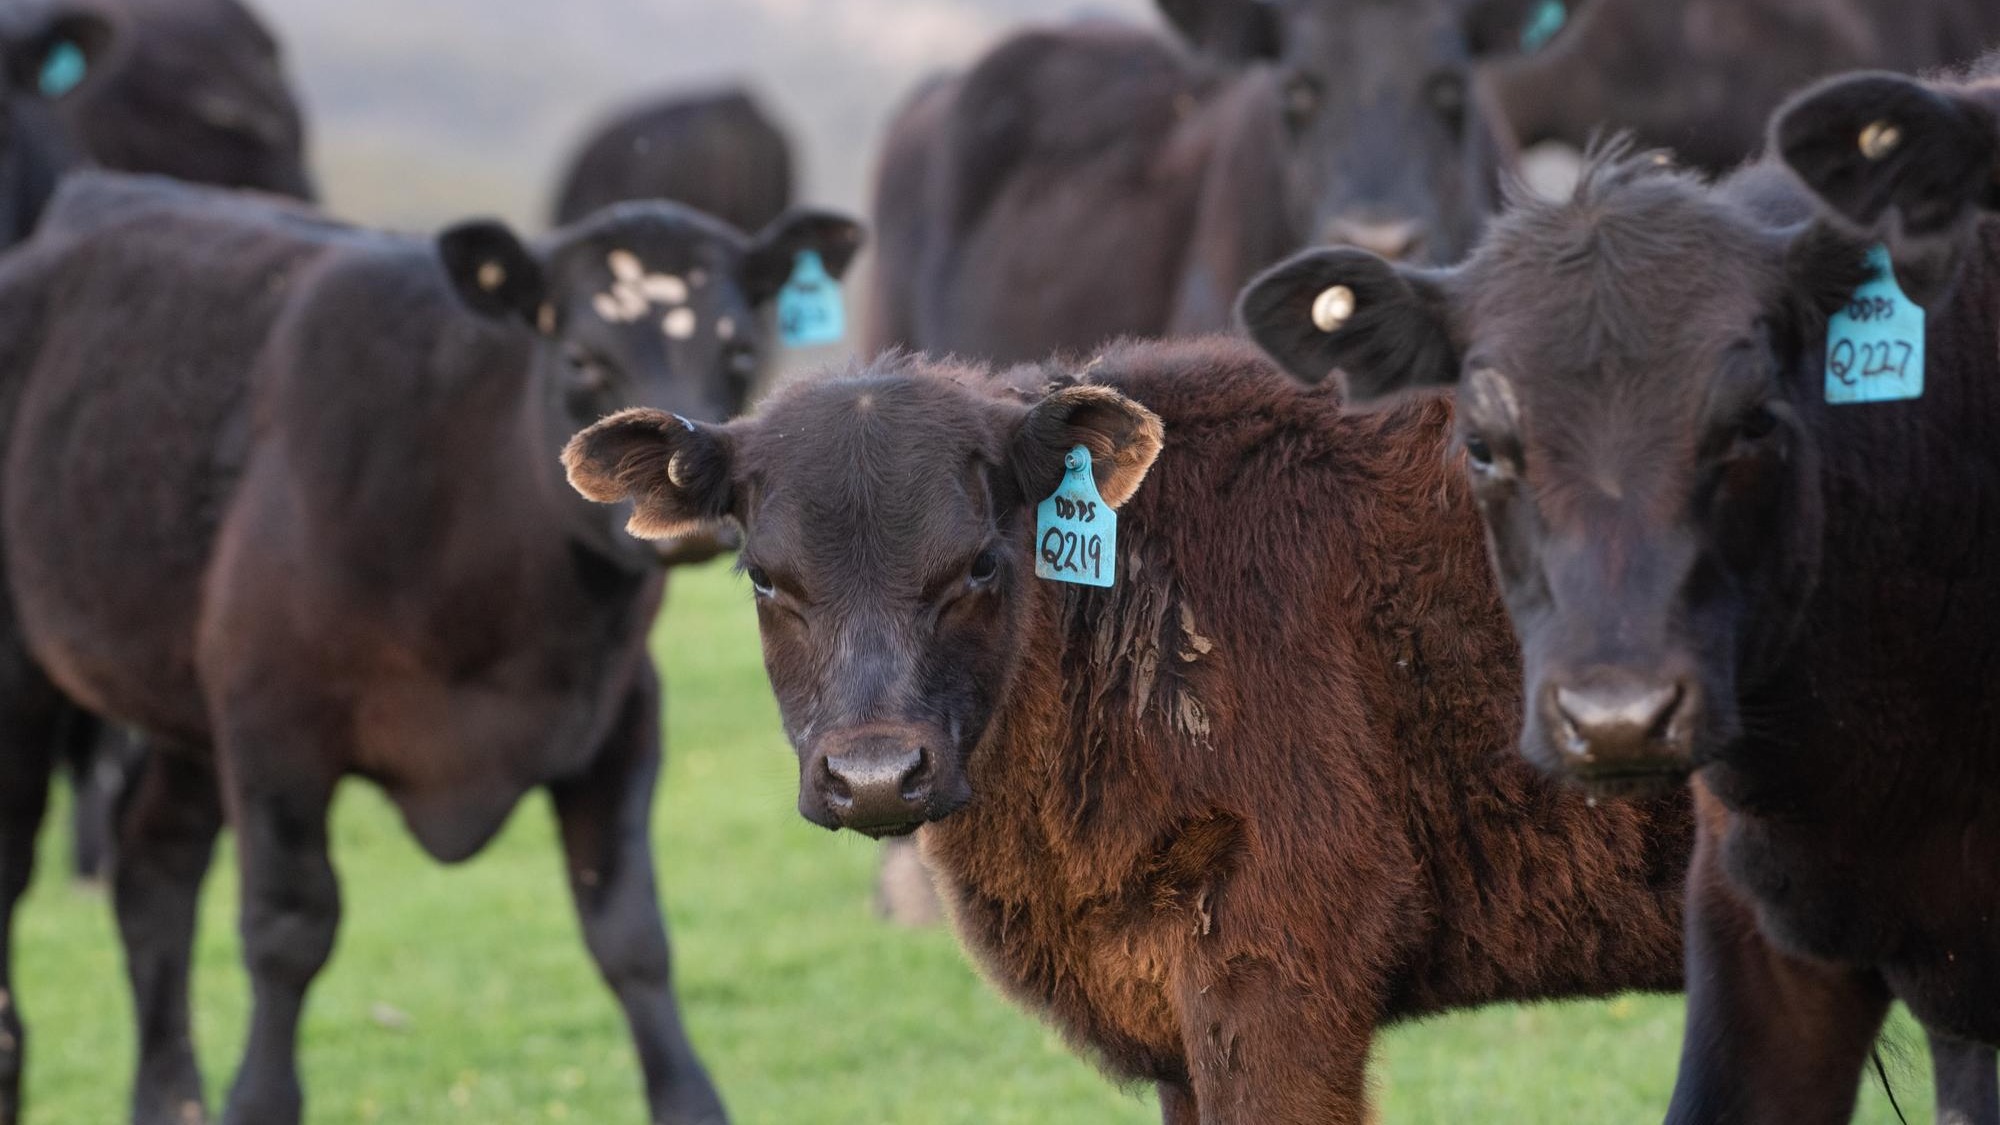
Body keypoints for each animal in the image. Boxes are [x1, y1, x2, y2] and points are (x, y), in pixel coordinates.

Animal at [0, 169, 860, 1125]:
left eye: (740, 352)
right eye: (582, 360)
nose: (690, 496)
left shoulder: (621, 717)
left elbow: (631, 931)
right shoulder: (273, 722)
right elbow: (289, 928)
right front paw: (257, 1098)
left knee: (154, 868)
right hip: (31, 677)